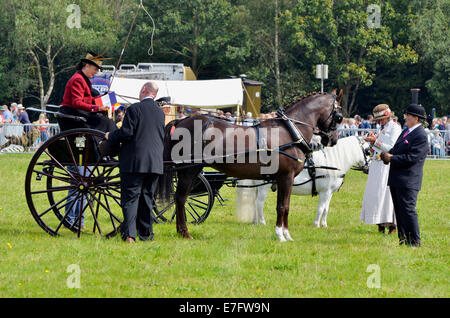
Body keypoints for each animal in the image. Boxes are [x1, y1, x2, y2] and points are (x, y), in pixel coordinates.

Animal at [160, 90, 342, 241]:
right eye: (338, 115)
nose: (333, 139)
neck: (290, 132)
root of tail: (181, 121)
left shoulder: (283, 179)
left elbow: (285, 206)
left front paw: (287, 235)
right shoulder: (286, 177)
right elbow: (282, 207)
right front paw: (280, 235)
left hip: (192, 169)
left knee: (180, 198)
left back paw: (180, 231)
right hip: (188, 170)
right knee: (181, 198)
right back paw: (184, 232)